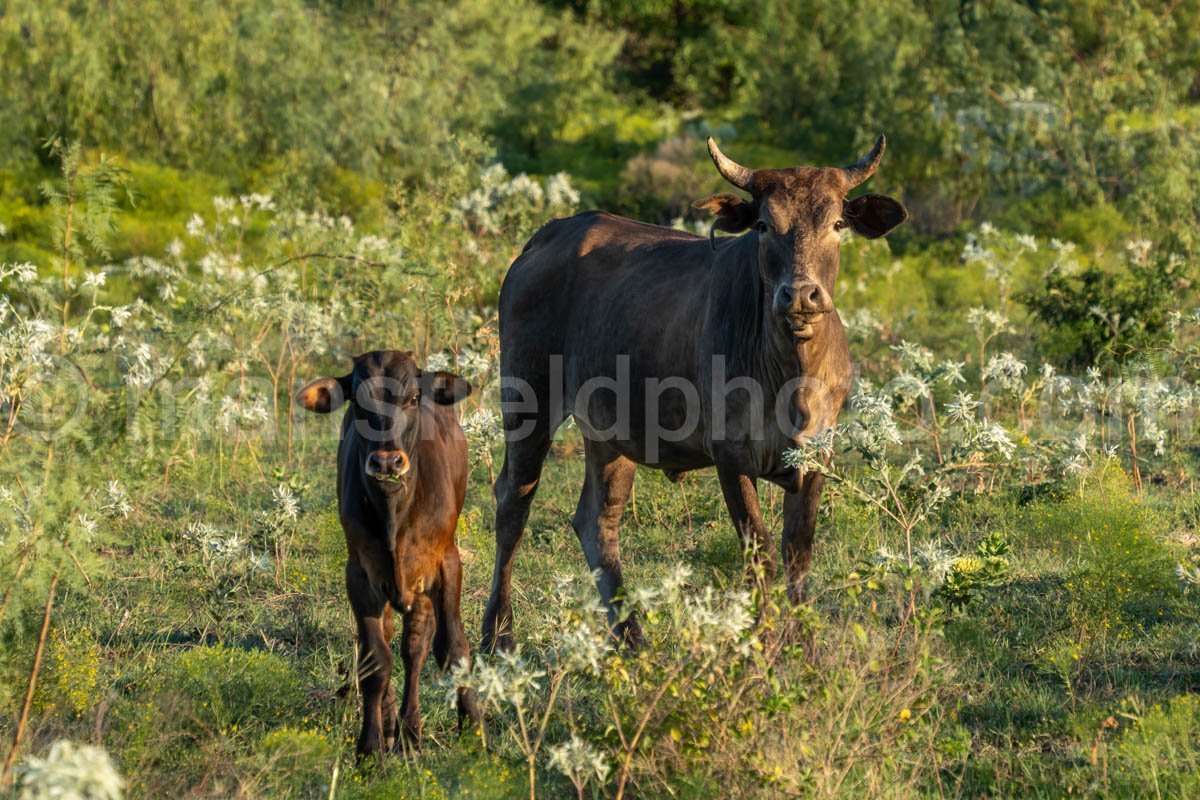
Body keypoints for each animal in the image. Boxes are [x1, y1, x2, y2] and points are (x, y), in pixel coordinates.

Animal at [297, 352, 480, 758]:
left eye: (412, 398)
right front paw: (370, 747)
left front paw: (475, 729)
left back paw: (411, 729)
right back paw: (395, 725)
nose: (386, 463)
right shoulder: (360, 575)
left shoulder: (446, 562)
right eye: (357, 402)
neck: (395, 512)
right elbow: (375, 662)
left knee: (416, 646)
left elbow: (453, 648)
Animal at [482, 137, 902, 652]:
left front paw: (803, 647)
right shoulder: (731, 455)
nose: (801, 295)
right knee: (513, 502)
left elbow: (798, 554)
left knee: (597, 520)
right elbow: (760, 551)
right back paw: (498, 632)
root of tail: (551, 234)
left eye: (838, 223)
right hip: (528, 401)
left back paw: (632, 638)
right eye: (764, 225)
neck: (792, 374)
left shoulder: (817, 453)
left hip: (610, 432)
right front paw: (763, 646)